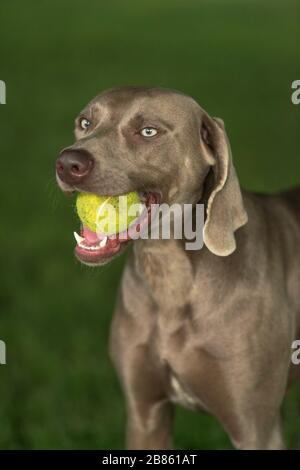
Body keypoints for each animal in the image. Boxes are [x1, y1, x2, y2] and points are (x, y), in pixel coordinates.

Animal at [55, 86, 300, 450]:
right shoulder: (145, 415)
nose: (68, 163)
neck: (168, 273)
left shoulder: (256, 427)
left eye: (148, 132)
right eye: (85, 122)